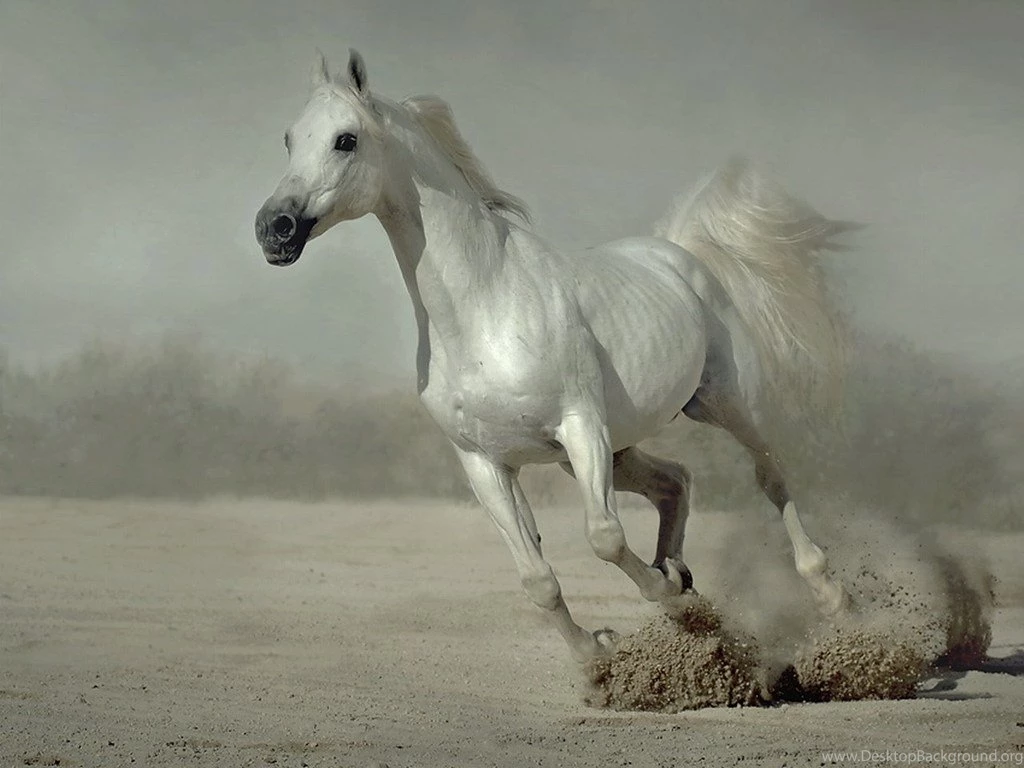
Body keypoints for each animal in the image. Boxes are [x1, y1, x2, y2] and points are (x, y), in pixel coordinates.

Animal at [255, 50, 852, 661]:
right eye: (289, 138)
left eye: (345, 140)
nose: (274, 229)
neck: (484, 309)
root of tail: (677, 253)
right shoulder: (485, 463)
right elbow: (537, 578)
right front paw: (600, 653)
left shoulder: (581, 426)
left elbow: (604, 538)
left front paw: (665, 601)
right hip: (612, 449)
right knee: (676, 481)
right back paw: (680, 574)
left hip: (723, 405)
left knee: (770, 475)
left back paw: (829, 596)